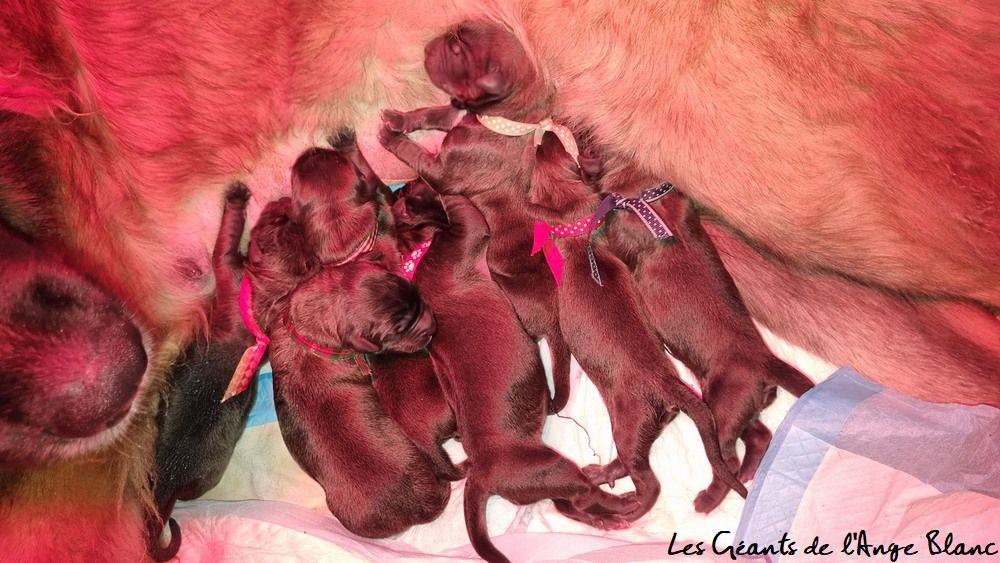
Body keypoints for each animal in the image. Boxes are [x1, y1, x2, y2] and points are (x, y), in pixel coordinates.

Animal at [378, 20, 748, 524]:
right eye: (458, 34)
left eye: (457, 50)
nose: (430, 43)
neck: (507, 118)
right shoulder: (453, 116)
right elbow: (431, 112)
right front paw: (400, 118)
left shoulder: (445, 170)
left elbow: (420, 159)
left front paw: (390, 140)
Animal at [388, 182, 632, 563]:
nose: (401, 188)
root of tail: (481, 476)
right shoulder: (465, 226)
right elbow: (454, 205)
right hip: (552, 468)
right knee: (584, 495)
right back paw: (622, 503)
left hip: (543, 482)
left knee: (569, 505)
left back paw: (606, 520)